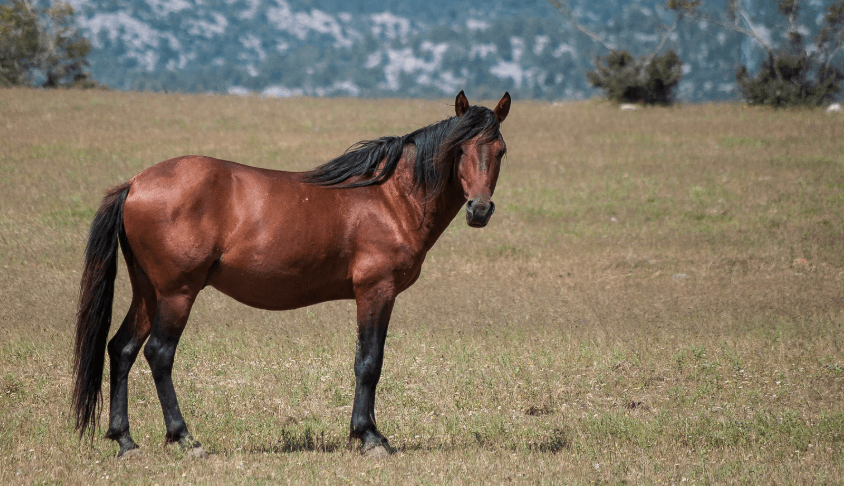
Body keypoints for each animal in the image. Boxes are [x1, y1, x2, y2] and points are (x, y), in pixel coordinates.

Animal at [72, 90, 510, 458]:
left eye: (501, 150)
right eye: (459, 148)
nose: (479, 209)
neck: (389, 197)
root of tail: (135, 183)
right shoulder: (376, 291)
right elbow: (369, 361)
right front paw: (369, 436)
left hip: (148, 291)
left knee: (122, 349)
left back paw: (126, 441)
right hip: (177, 293)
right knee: (159, 354)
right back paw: (184, 438)